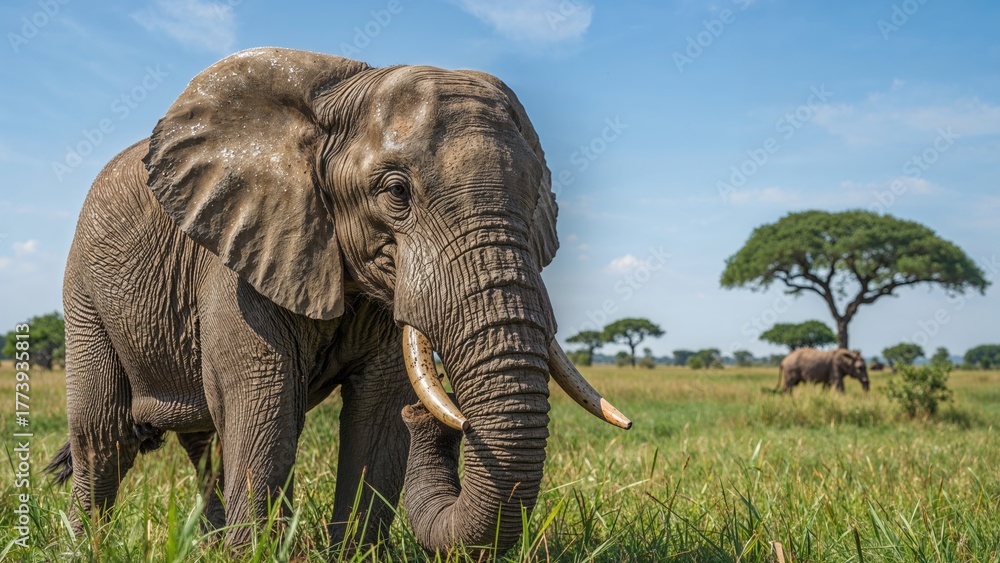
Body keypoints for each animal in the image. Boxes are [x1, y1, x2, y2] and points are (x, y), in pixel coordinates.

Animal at [47, 47, 632, 555]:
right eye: (396, 193)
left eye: (538, 200)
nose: (446, 421)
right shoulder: (239, 262)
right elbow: (265, 411)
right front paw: (255, 556)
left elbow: (379, 413)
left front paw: (352, 552)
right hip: (84, 290)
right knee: (104, 436)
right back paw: (84, 547)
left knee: (203, 446)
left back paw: (204, 546)